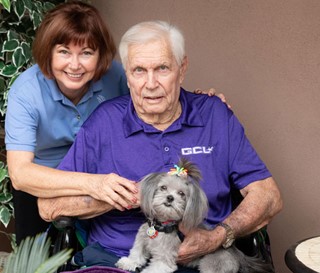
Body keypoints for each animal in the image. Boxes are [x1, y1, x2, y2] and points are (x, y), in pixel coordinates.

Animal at [116, 157, 274, 272]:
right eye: (163, 187)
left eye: (181, 194)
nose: (170, 198)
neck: (162, 226)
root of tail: (237, 254)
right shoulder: (142, 240)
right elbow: (137, 252)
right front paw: (130, 262)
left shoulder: (165, 260)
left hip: (212, 265)